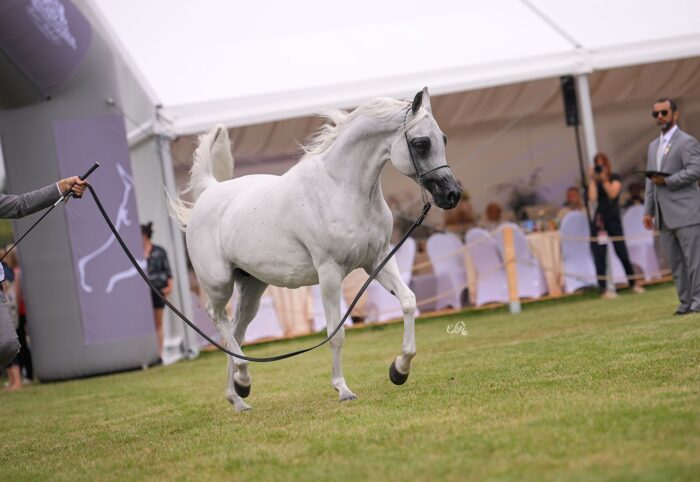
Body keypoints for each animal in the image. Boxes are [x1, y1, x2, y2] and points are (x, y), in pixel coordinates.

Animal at [170, 88, 461, 412]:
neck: (341, 189)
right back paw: (243, 379)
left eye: (443, 139)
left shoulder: (378, 261)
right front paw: (343, 389)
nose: (452, 195)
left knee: (235, 334)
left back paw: (238, 396)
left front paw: (399, 370)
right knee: (217, 318)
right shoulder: (330, 273)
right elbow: (336, 333)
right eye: (421, 143)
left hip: (252, 289)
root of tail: (208, 192)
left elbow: (409, 301)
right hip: (219, 284)